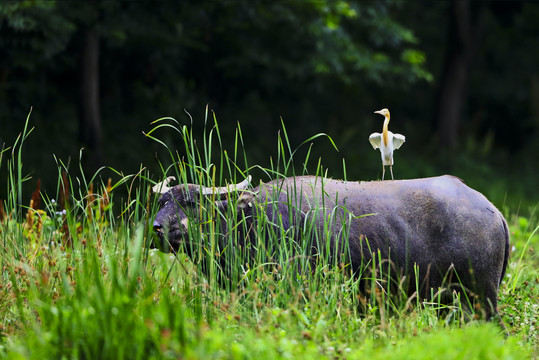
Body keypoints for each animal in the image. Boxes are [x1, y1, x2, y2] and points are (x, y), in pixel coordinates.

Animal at [153, 174, 510, 320]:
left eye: (190, 203)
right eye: (162, 201)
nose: (157, 228)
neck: (253, 221)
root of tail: (492, 210)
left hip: (481, 296)